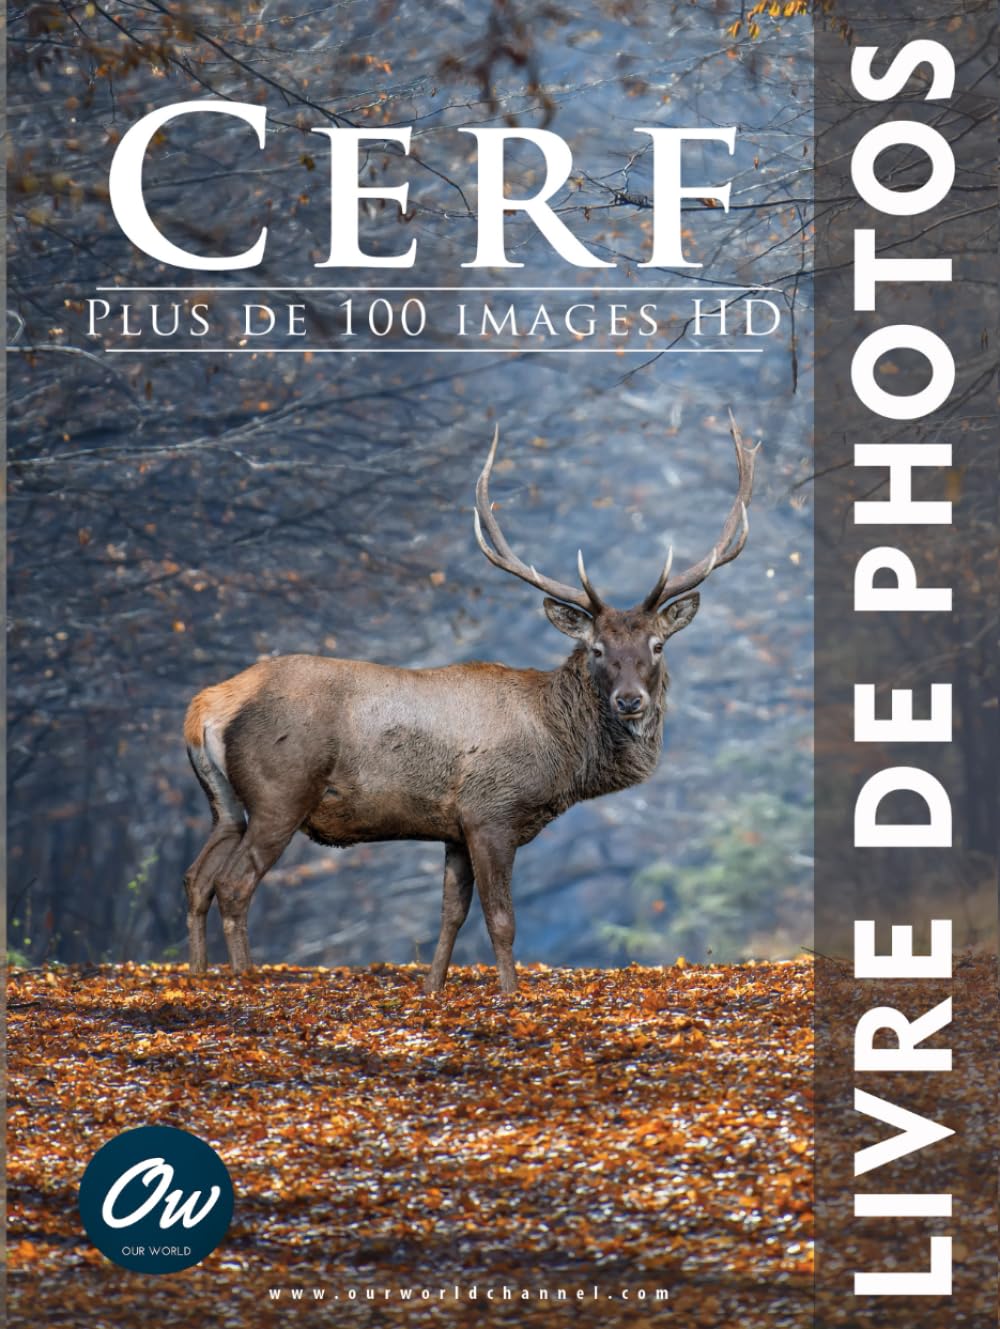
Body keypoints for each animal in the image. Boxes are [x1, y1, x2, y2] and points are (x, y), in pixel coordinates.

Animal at [182, 410, 759, 994]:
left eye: (657, 645)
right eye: (597, 648)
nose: (629, 701)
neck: (559, 753)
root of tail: (205, 707)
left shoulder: (453, 829)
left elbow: (450, 915)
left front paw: (432, 990)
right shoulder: (491, 813)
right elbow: (500, 919)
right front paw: (509, 994)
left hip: (224, 804)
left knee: (196, 877)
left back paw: (198, 976)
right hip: (280, 791)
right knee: (234, 883)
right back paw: (243, 980)